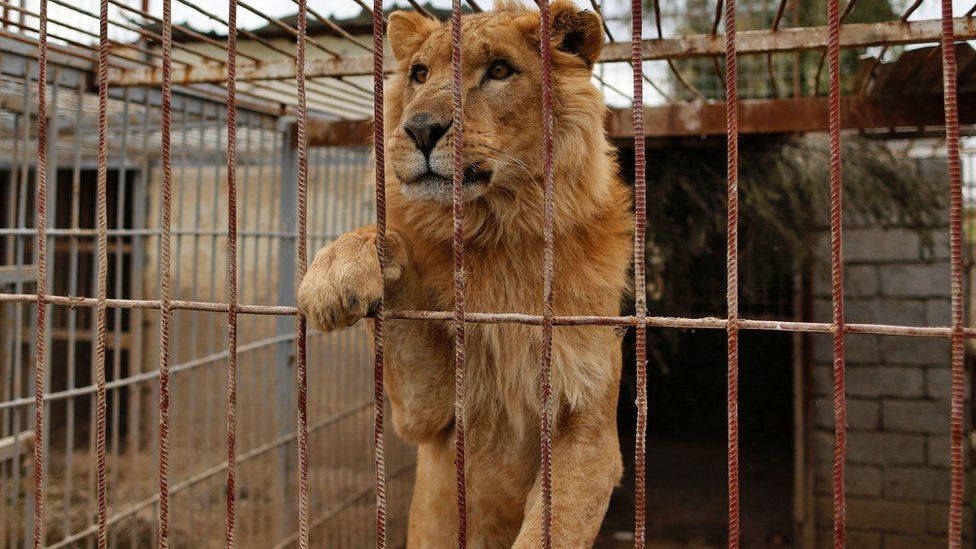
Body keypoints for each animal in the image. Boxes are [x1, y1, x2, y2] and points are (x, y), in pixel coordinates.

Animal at [297, 1, 633, 546]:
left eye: (498, 70)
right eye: (419, 74)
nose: (420, 129)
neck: (499, 233)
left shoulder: (592, 431)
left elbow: (554, 526)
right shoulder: (431, 415)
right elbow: (389, 240)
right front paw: (336, 270)